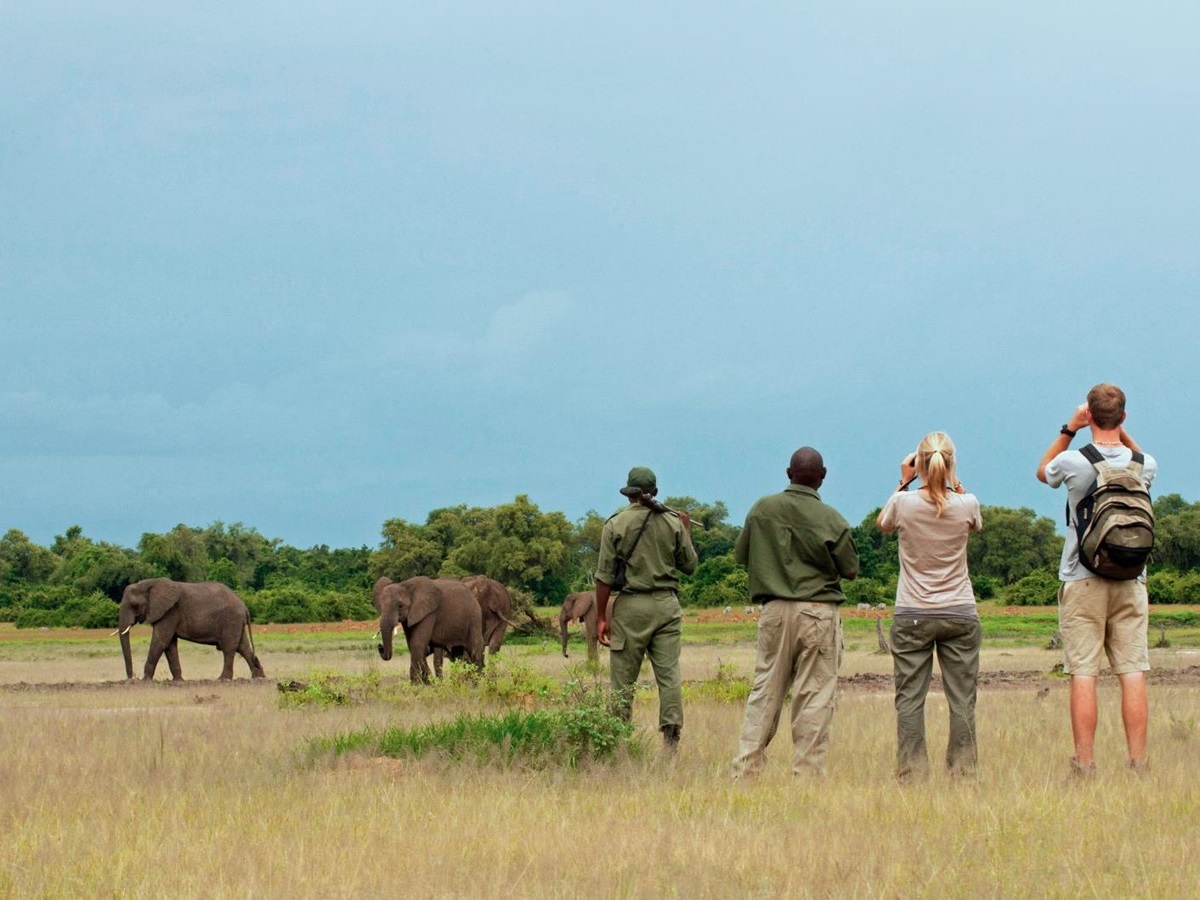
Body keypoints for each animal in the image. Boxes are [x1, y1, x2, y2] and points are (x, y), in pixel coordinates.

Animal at [116, 578, 266, 681]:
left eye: (134, 605)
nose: (131, 678)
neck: (149, 583)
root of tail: (245, 607)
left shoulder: (170, 612)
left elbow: (160, 641)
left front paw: (145, 681)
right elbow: (169, 645)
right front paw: (178, 681)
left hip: (231, 620)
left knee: (229, 648)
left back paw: (222, 679)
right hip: (236, 622)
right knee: (243, 647)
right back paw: (258, 677)